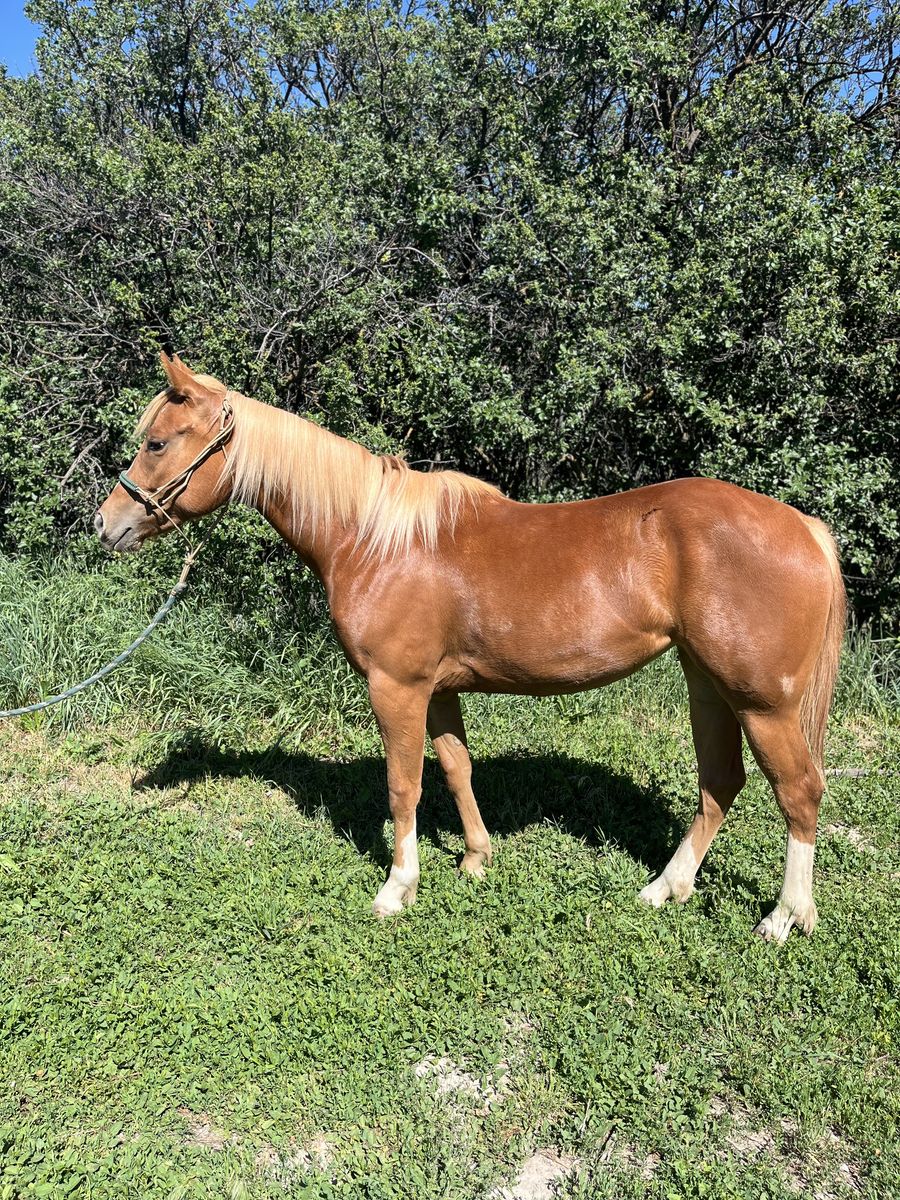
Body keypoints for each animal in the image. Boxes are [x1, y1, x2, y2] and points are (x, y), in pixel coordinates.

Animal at [96, 353, 845, 943]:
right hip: (706, 684)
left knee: (798, 791)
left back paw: (784, 917)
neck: (373, 538)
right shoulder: (438, 690)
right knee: (721, 784)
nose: (106, 524)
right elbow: (457, 768)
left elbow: (404, 783)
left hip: (763, 703)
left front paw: (398, 888)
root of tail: (806, 529)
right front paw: (476, 860)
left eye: (157, 442)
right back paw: (666, 888)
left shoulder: (396, 687)